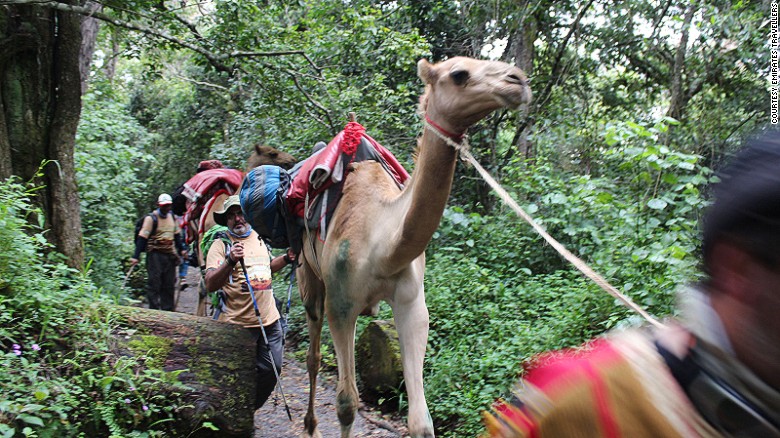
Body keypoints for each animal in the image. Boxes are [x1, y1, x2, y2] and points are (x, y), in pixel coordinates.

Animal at [296, 56, 532, 436]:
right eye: (459, 74)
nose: (518, 80)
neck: (383, 246)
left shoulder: (412, 303)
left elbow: (421, 420)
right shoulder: (341, 304)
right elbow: (346, 404)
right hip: (308, 274)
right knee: (313, 353)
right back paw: (310, 425)